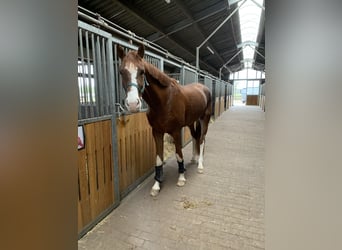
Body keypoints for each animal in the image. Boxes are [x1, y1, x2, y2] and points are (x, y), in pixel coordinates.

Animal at [118, 45, 211, 197]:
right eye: (121, 72)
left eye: (142, 71)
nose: (132, 104)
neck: (165, 101)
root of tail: (203, 88)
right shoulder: (156, 132)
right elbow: (158, 158)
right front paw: (156, 185)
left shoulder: (176, 131)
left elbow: (179, 154)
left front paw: (181, 178)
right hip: (191, 122)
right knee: (195, 137)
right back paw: (194, 158)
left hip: (204, 119)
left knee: (202, 138)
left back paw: (200, 165)